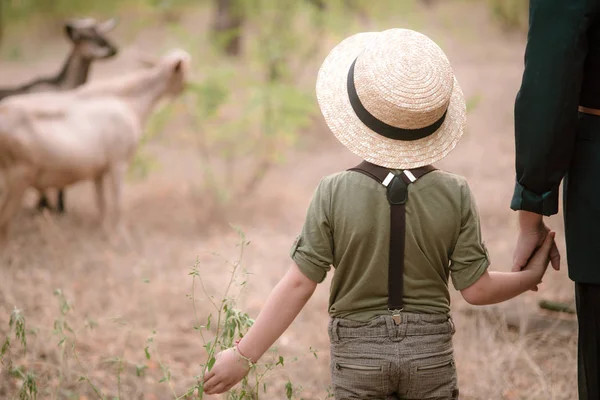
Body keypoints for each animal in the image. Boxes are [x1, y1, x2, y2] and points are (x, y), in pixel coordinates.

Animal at [0, 16, 119, 214]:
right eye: (85, 36)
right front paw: (52, 207)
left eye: (101, 32)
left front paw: (50, 207)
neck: (61, 86)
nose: (112, 49)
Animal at [0, 48, 191, 242]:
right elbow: (118, 202)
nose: (187, 87)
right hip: (17, 177)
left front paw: (106, 233)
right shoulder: (118, 163)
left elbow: (101, 204)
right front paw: (123, 237)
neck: (130, 101)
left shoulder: (98, 171)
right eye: (184, 69)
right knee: (5, 220)